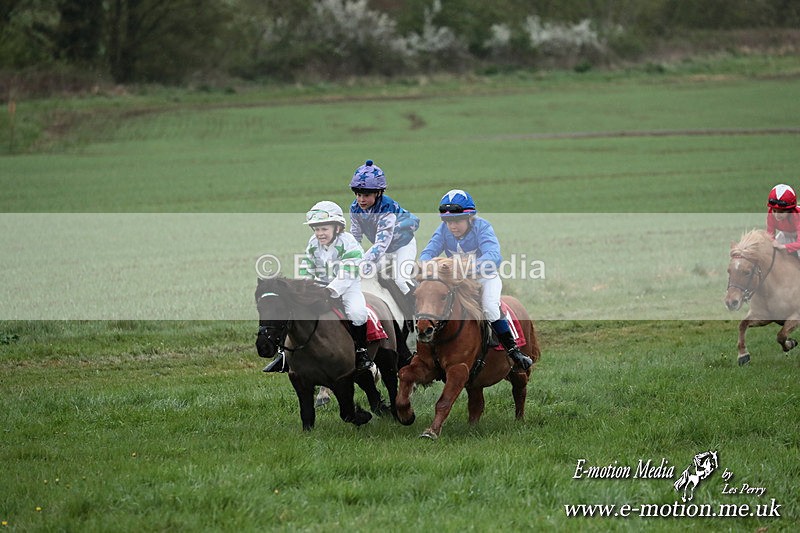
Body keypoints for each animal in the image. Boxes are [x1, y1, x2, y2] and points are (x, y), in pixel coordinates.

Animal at [255, 277, 401, 430]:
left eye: (280, 309)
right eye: (259, 308)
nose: (263, 347)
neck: (314, 342)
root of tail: (381, 302)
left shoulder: (342, 378)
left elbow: (347, 413)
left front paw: (363, 415)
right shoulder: (299, 380)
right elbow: (307, 415)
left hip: (386, 355)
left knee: (390, 381)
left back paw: (398, 414)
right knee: (366, 379)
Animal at [395, 257, 541, 440]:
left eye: (443, 296)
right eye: (416, 296)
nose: (423, 329)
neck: (443, 336)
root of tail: (518, 304)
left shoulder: (458, 369)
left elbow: (444, 401)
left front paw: (432, 431)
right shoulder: (427, 366)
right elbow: (405, 374)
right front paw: (406, 415)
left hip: (517, 369)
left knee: (519, 389)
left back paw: (519, 420)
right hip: (475, 379)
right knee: (477, 402)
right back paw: (472, 427)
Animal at [725, 229, 800, 366]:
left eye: (747, 272)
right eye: (729, 271)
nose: (730, 302)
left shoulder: (796, 316)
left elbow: (781, 335)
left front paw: (791, 343)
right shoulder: (763, 316)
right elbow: (742, 325)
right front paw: (743, 355)